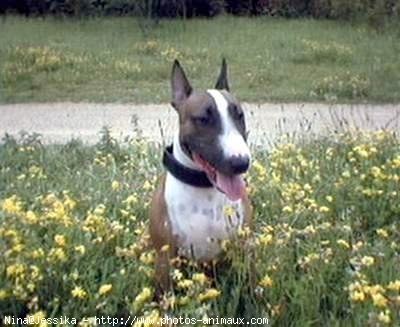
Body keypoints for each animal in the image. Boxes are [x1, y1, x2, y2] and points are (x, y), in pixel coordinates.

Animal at [148, 59, 252, 292]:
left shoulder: (244, 248)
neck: (204, 187)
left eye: (239, 115)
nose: (241, 163)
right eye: (203, 119)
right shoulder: (165, 260)